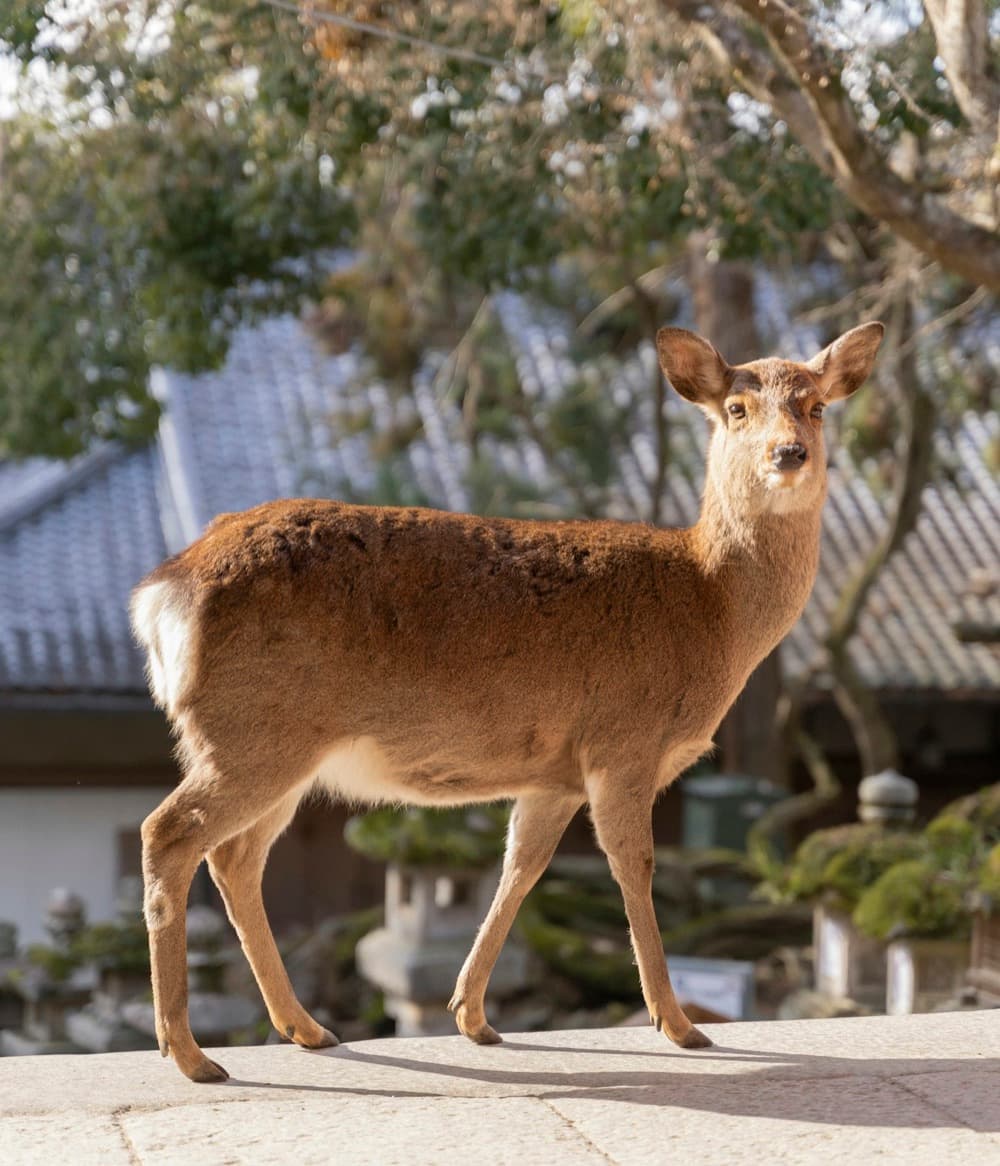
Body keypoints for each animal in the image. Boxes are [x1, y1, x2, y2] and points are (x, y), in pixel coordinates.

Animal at [131, 320, 883, 1082]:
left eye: (817, 406)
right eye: (736, 408)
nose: (789, 453)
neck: (711, 607)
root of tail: (162, 593)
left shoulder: (554, 775)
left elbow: (520, 866)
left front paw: (473, 1016)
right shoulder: (624, 741)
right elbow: (632, 865)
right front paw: (678, 1026)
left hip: (272, 749)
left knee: (234, 857)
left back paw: (305, 1028)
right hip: (254, 732)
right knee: (167, 833)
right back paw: (189, 1052)